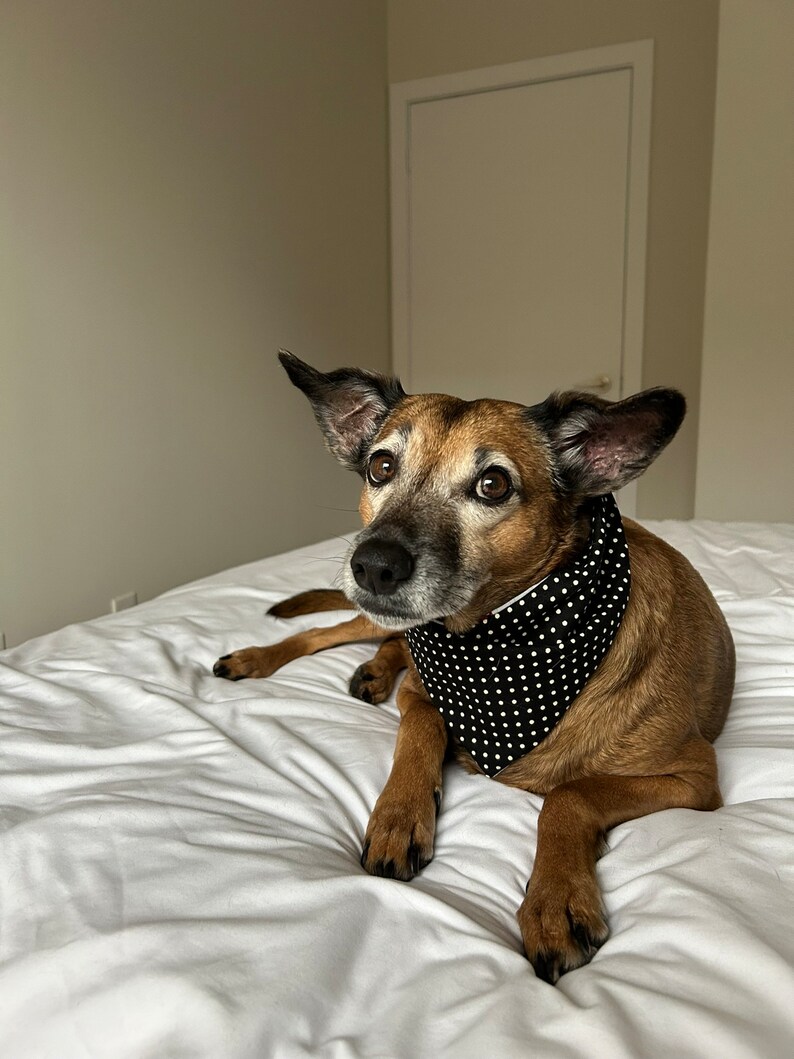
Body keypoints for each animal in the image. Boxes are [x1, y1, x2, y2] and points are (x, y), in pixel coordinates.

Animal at [214, 355, 736, 982]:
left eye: (493, 484)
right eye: (380, 466)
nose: (373, 565)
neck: (489, 645)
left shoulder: (695, 777)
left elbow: (572, 793)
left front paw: (556, 901)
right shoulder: (423, 692)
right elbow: (419, 728)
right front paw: (398, 815)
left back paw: (371, 672)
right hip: (368, 620)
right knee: (328, 634)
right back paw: (258, 658)